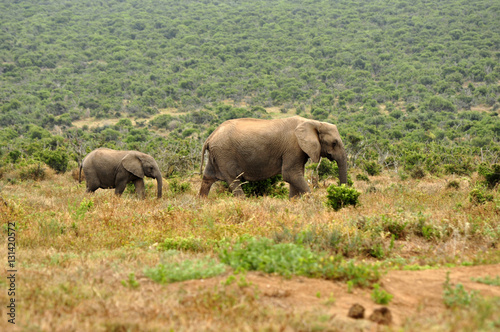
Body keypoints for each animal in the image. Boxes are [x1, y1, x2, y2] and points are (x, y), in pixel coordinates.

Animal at [199, 116, 348, 198]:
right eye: (334, 143)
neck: (313, 122)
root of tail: (211, 136)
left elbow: (295, 175)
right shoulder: (293, 147)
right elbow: (290, 174)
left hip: (216, 154)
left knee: (207, 177)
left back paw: (202, 203)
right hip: (224, 153)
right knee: (234, 179)